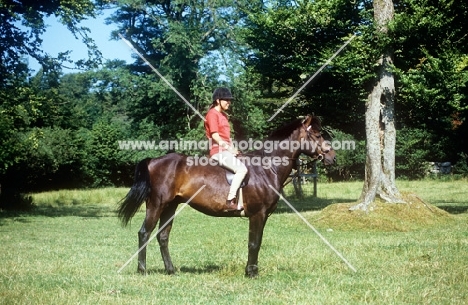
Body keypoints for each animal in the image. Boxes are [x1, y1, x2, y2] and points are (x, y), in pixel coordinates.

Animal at [119, 113, 334, 276]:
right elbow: (254, 243)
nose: (332, 156)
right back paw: (142, 270)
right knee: (144, 233)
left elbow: (257, 242)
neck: (267, 167)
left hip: (171, 206)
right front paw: (251, 273)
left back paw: (171, 270)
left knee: (163, 236)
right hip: (156, 205)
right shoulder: (257, 214)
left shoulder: (263, 216)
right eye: (317, 134)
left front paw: (252, 270)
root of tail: (154, 161)